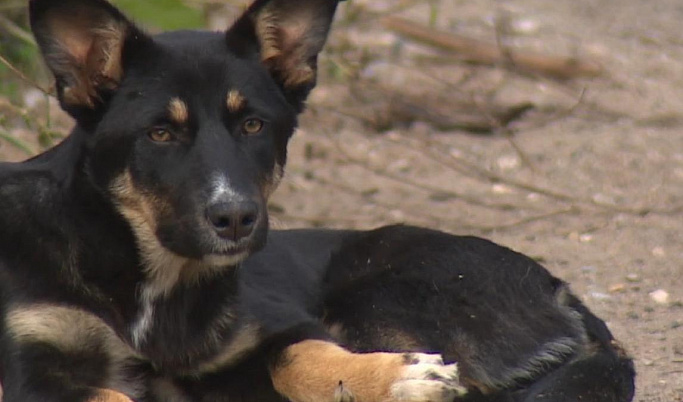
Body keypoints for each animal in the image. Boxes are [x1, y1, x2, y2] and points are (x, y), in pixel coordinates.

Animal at [0, 0, 636, 400]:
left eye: (253, 125)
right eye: (160, 133)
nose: (236, 219)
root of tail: (562, 291)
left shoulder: (268, 334)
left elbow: (300, 354)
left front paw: (392, 379)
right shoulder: (29, 375)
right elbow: (110, 393)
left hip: (378, 295)